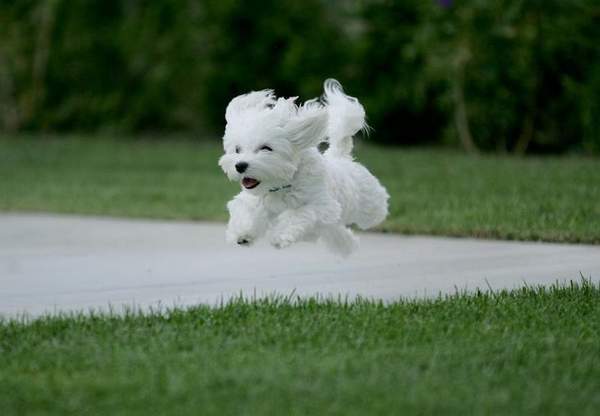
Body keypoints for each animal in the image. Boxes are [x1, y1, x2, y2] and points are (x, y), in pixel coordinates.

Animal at [219, 77, 390, 254]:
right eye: (237, 149)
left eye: (266, 148)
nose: (240, 165)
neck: (283, 185)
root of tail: (339, 155)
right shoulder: (255, 201)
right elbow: (246, 210)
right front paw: (243, 232)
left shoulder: (323, 206)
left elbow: (299, 214)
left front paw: (280, 235)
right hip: (333, 226)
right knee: (337, 233)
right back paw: (347, 246)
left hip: (368, 204)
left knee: (374, 212)